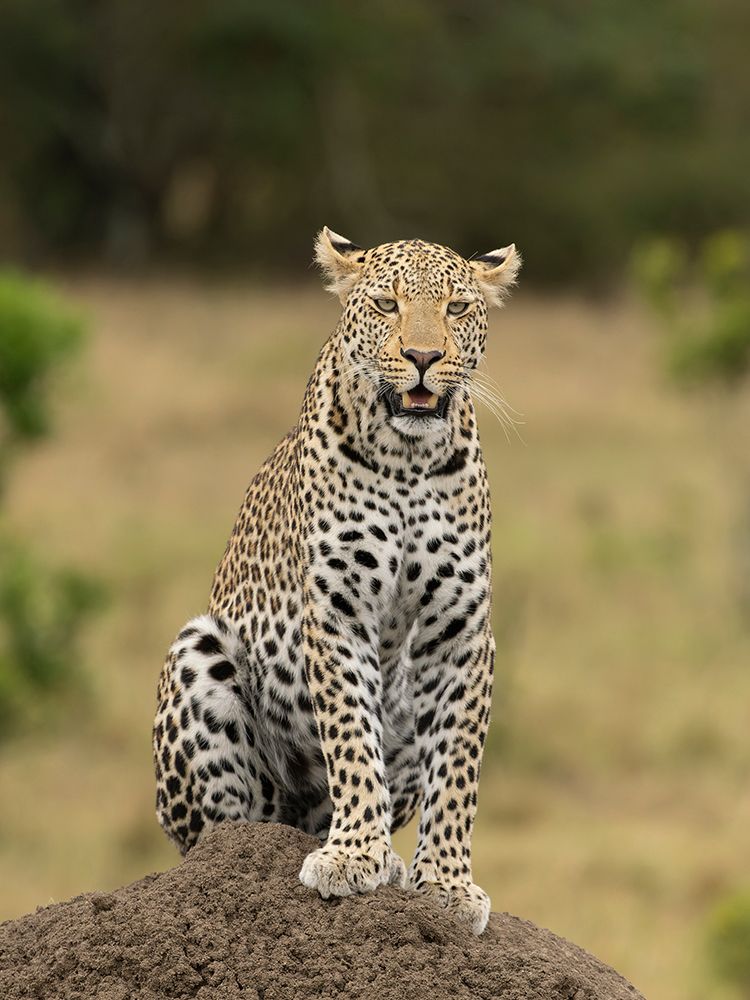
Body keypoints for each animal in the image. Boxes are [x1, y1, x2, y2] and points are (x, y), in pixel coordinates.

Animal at [152, 227, 521, 934]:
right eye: (385, 303)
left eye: (457, 307)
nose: (424, 355)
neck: (409, 459)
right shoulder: (337, 608)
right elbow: (350, 734)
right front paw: (353, 855)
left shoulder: (460, 630)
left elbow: (458, 767)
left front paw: (448, 885)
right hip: (200, 656)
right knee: (226, 830)